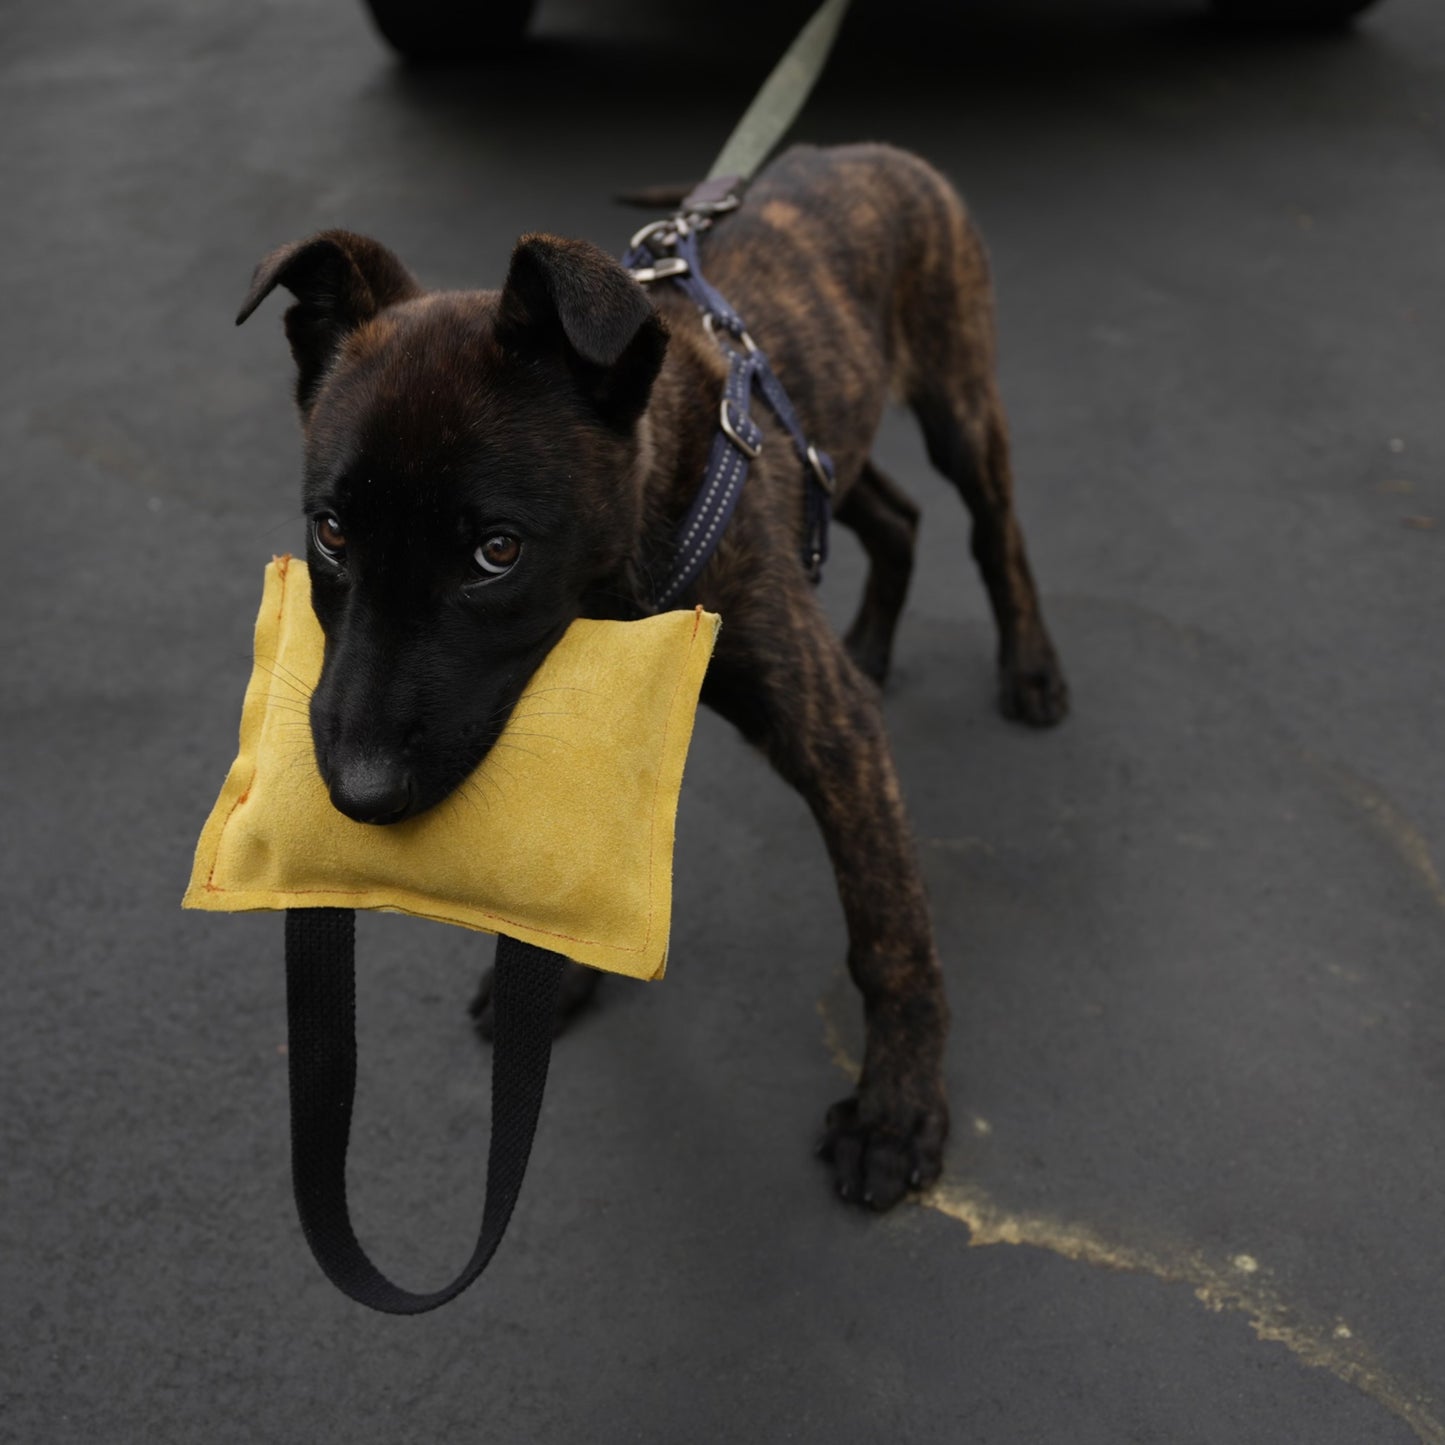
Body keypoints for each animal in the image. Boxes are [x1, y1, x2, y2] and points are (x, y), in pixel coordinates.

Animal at [236, 143, 1069, 1208]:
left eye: (496, 551)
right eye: (332, 533)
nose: (358, 794)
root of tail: (866, 151)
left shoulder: (834, 739)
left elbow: (886, 932)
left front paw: (895, 1110)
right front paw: (554, 981)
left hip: (958, 400)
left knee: (989, 526)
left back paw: (1031, 666)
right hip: (835, 443)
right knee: (893, 512)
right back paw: (873, 641)